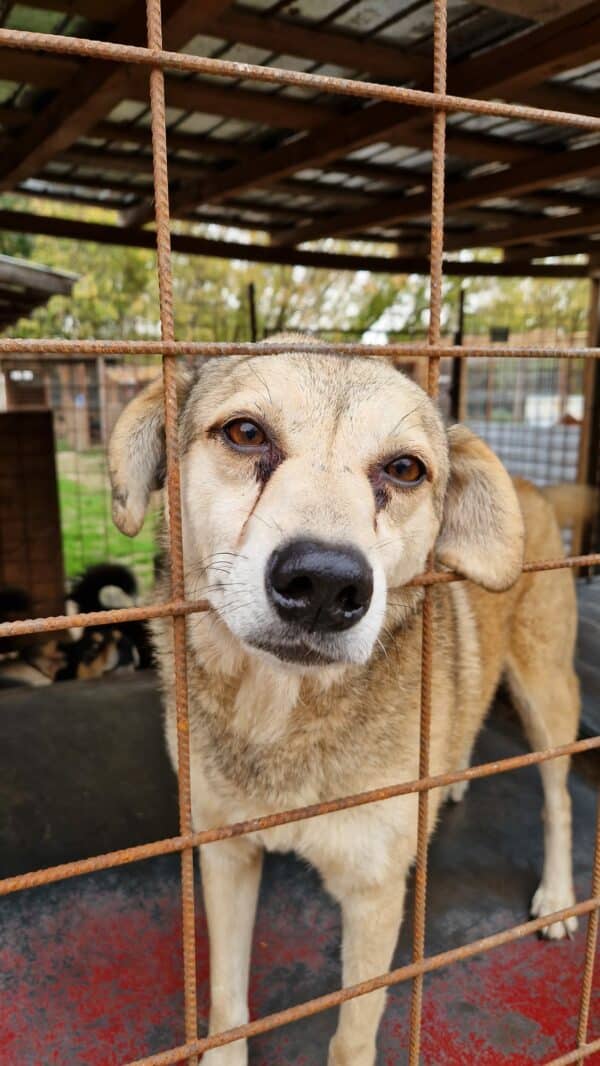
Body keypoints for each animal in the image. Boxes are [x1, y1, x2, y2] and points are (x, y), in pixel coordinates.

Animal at [108, 334, 584, 1066]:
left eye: (406, 469)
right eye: (245, 433)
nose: (326, 584)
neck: (283, 716)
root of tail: (535, 488)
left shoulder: (374, 894)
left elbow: (352, 1034)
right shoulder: (224, 852)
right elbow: (226, 1001)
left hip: (548, 697)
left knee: (558, 800)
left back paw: (558, 896)